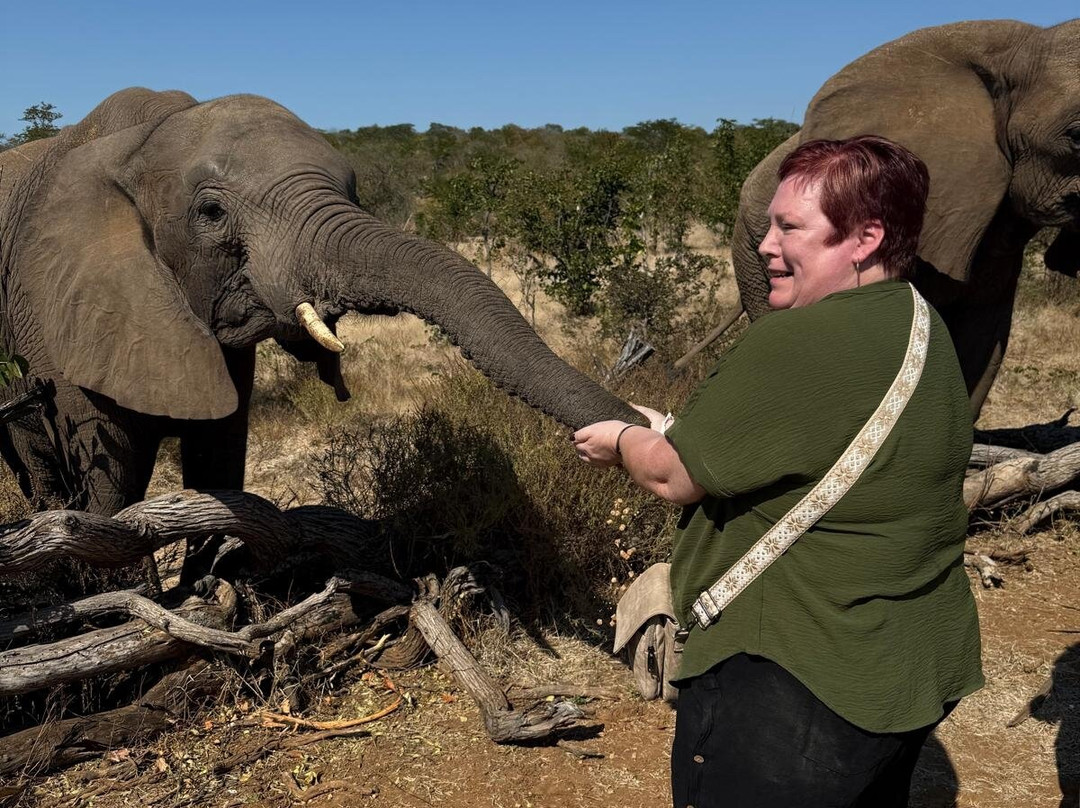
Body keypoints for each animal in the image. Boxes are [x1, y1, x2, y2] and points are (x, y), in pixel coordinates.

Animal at [0, 87, 640, 516]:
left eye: (352, 189)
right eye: (211, 212)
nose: (646, 426)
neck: (139, 142)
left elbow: (220, 459)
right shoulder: (61, 313)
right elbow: (108, 484)